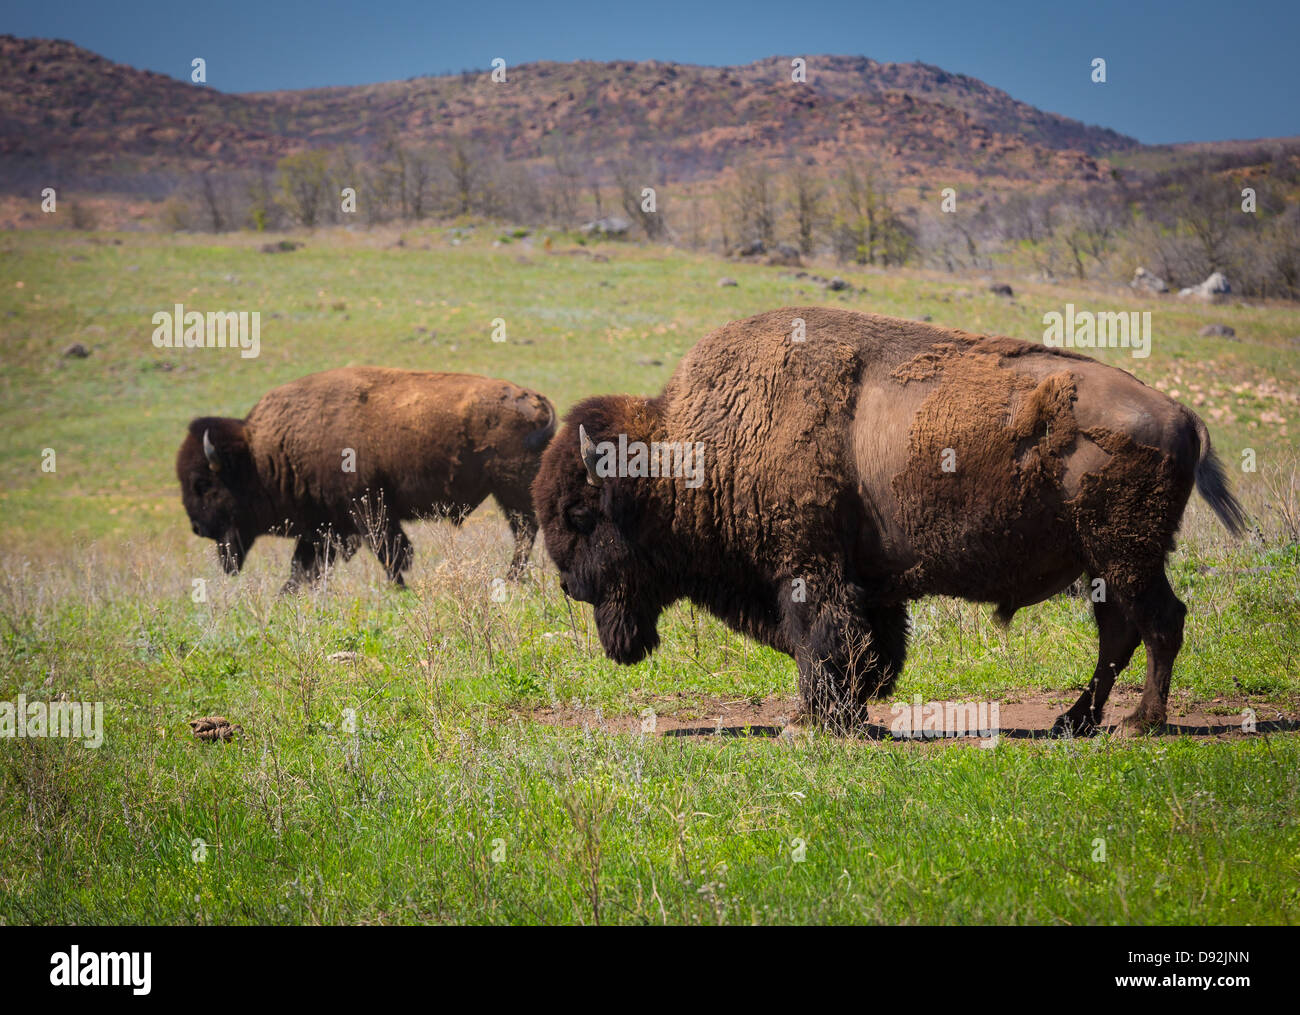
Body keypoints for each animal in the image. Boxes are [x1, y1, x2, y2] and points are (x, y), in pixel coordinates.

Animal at [178, 366, 553, 584]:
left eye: (203, 484)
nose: (197, 527)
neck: (264, 453)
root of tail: (535, 399)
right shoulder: (326, 525)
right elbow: (303, 568)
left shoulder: (368, 509)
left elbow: (392, 554)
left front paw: (400, 590)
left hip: (511, 489)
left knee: (525, 530)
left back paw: (511, 579)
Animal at [533, 305, 1242, 732]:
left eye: (581, 512)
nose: (571, 585)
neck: (693, 448)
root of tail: (1181, 413)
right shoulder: (865, 584)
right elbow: (869, 647)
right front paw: (850, 715)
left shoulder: (808, 568)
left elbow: (823, 639)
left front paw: (810, 722)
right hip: (1103, 562)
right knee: (1120, 633)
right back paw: (1074, 722)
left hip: (1126, 553)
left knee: (1159, 623)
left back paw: (1141, 723)